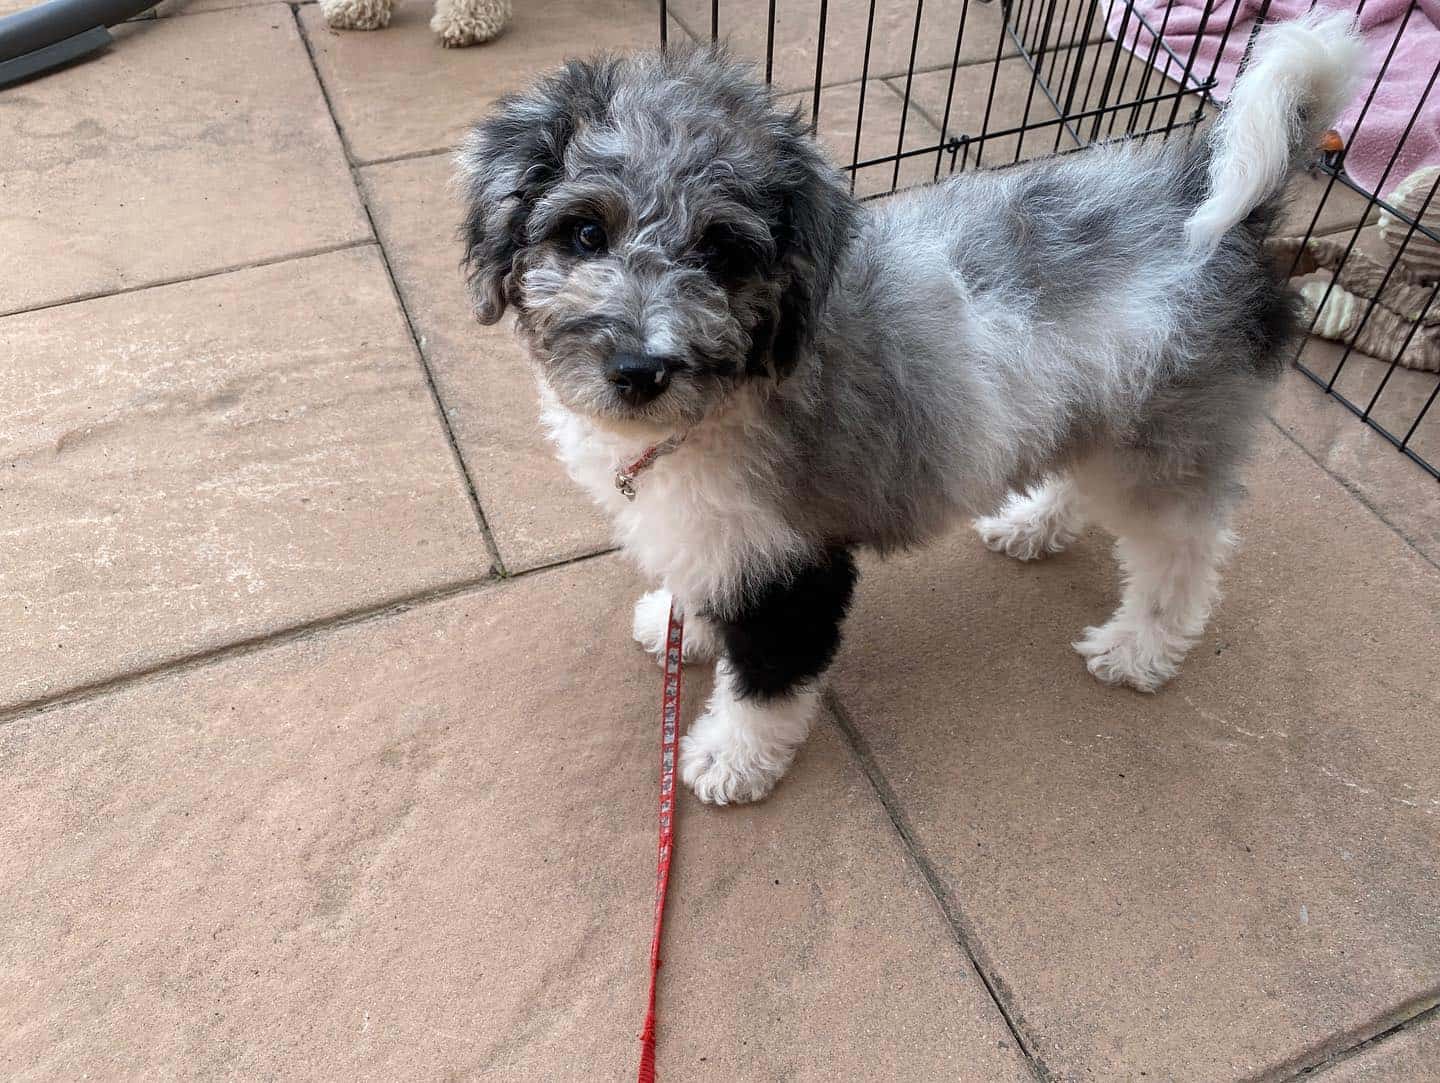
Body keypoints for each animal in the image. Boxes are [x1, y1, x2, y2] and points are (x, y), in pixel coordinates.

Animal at [457, 10, 1359, 806]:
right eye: (584, 233)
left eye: (720, 252)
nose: (639, 368)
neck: (725, 402)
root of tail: (1214, 201)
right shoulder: (719, 537)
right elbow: (706, 590)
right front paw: (687, 626)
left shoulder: (793, 559)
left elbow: (769, 676)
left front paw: (730, 758)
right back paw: (1032, 524)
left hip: (1163, 445)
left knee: (1185, 555)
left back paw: (1137, 649)